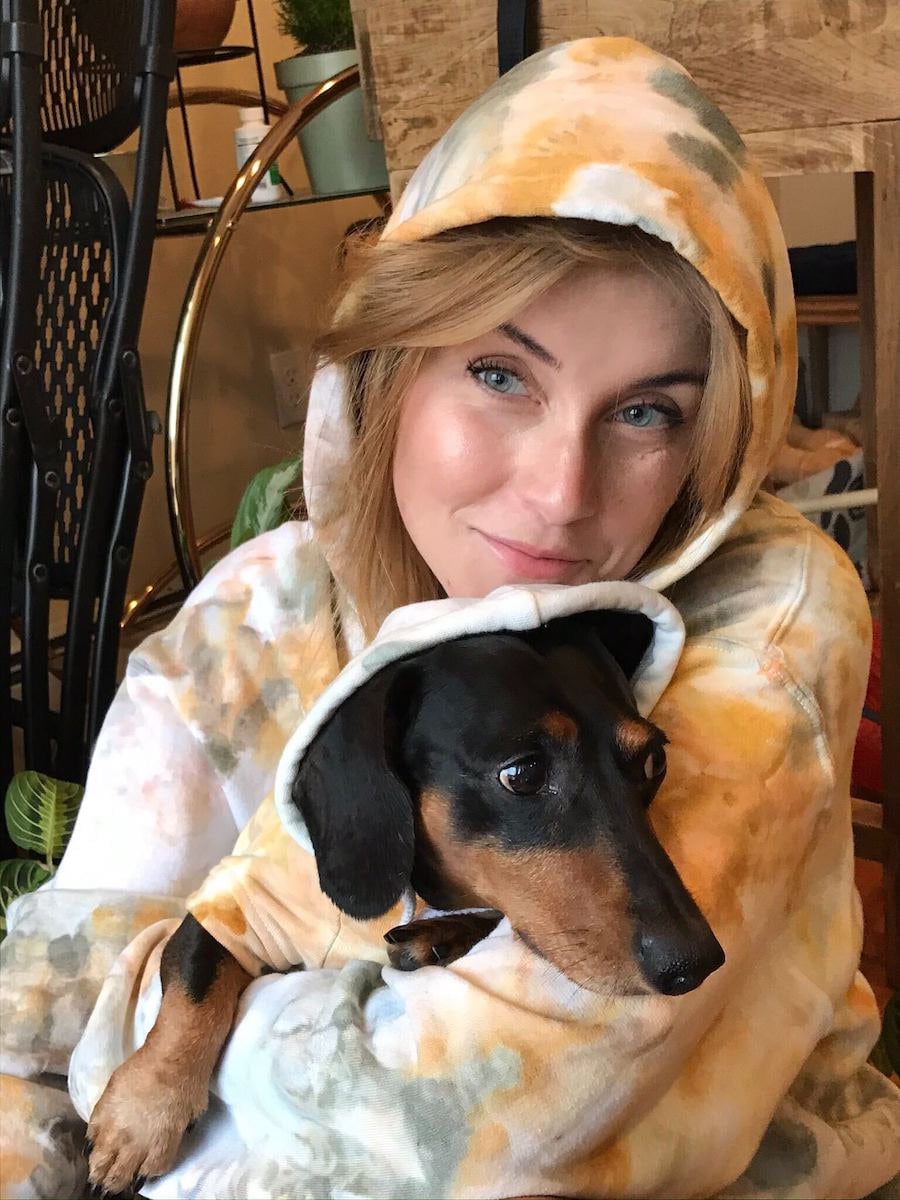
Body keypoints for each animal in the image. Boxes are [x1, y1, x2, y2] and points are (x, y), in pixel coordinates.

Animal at [86, 614, 724, 1195]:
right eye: (522, 773)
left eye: (654, 762)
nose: (697, 963)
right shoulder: (235, 901)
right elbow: (195, 985)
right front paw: (142, 1115)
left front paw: (437, 937)